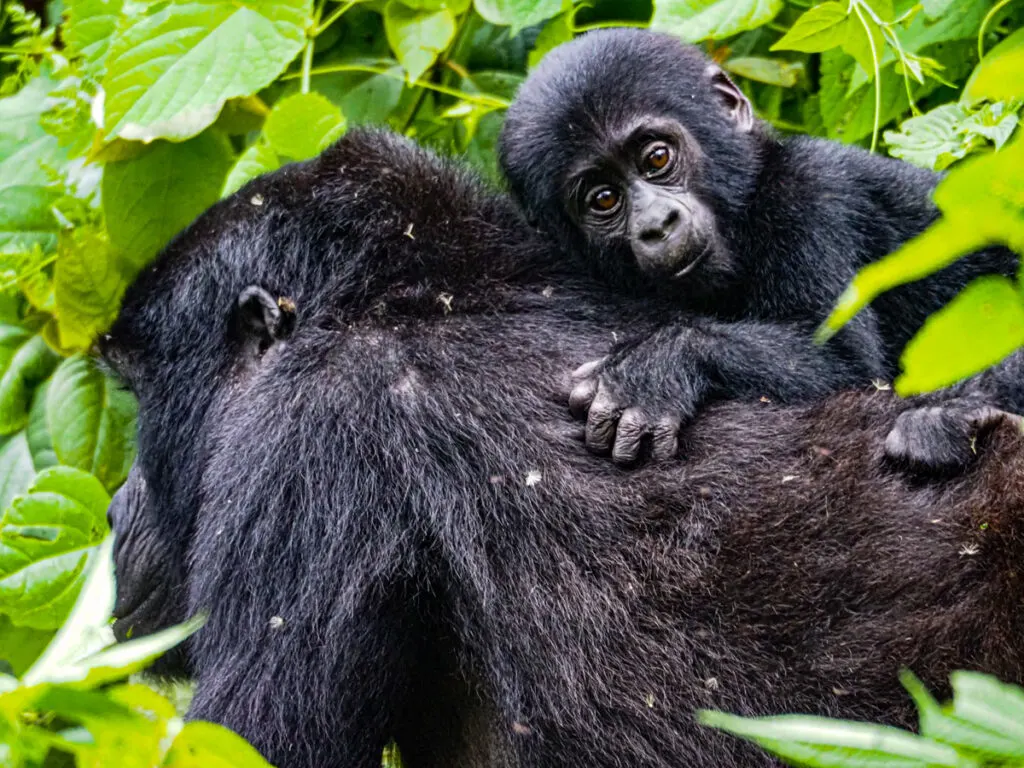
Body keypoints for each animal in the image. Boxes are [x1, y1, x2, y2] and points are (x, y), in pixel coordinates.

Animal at [497, 30, 1024, 468]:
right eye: (603, 199)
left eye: (657, 157)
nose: (657, 225)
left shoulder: (809, 194)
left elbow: (846, 368)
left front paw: (658, 367)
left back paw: (949, 421)